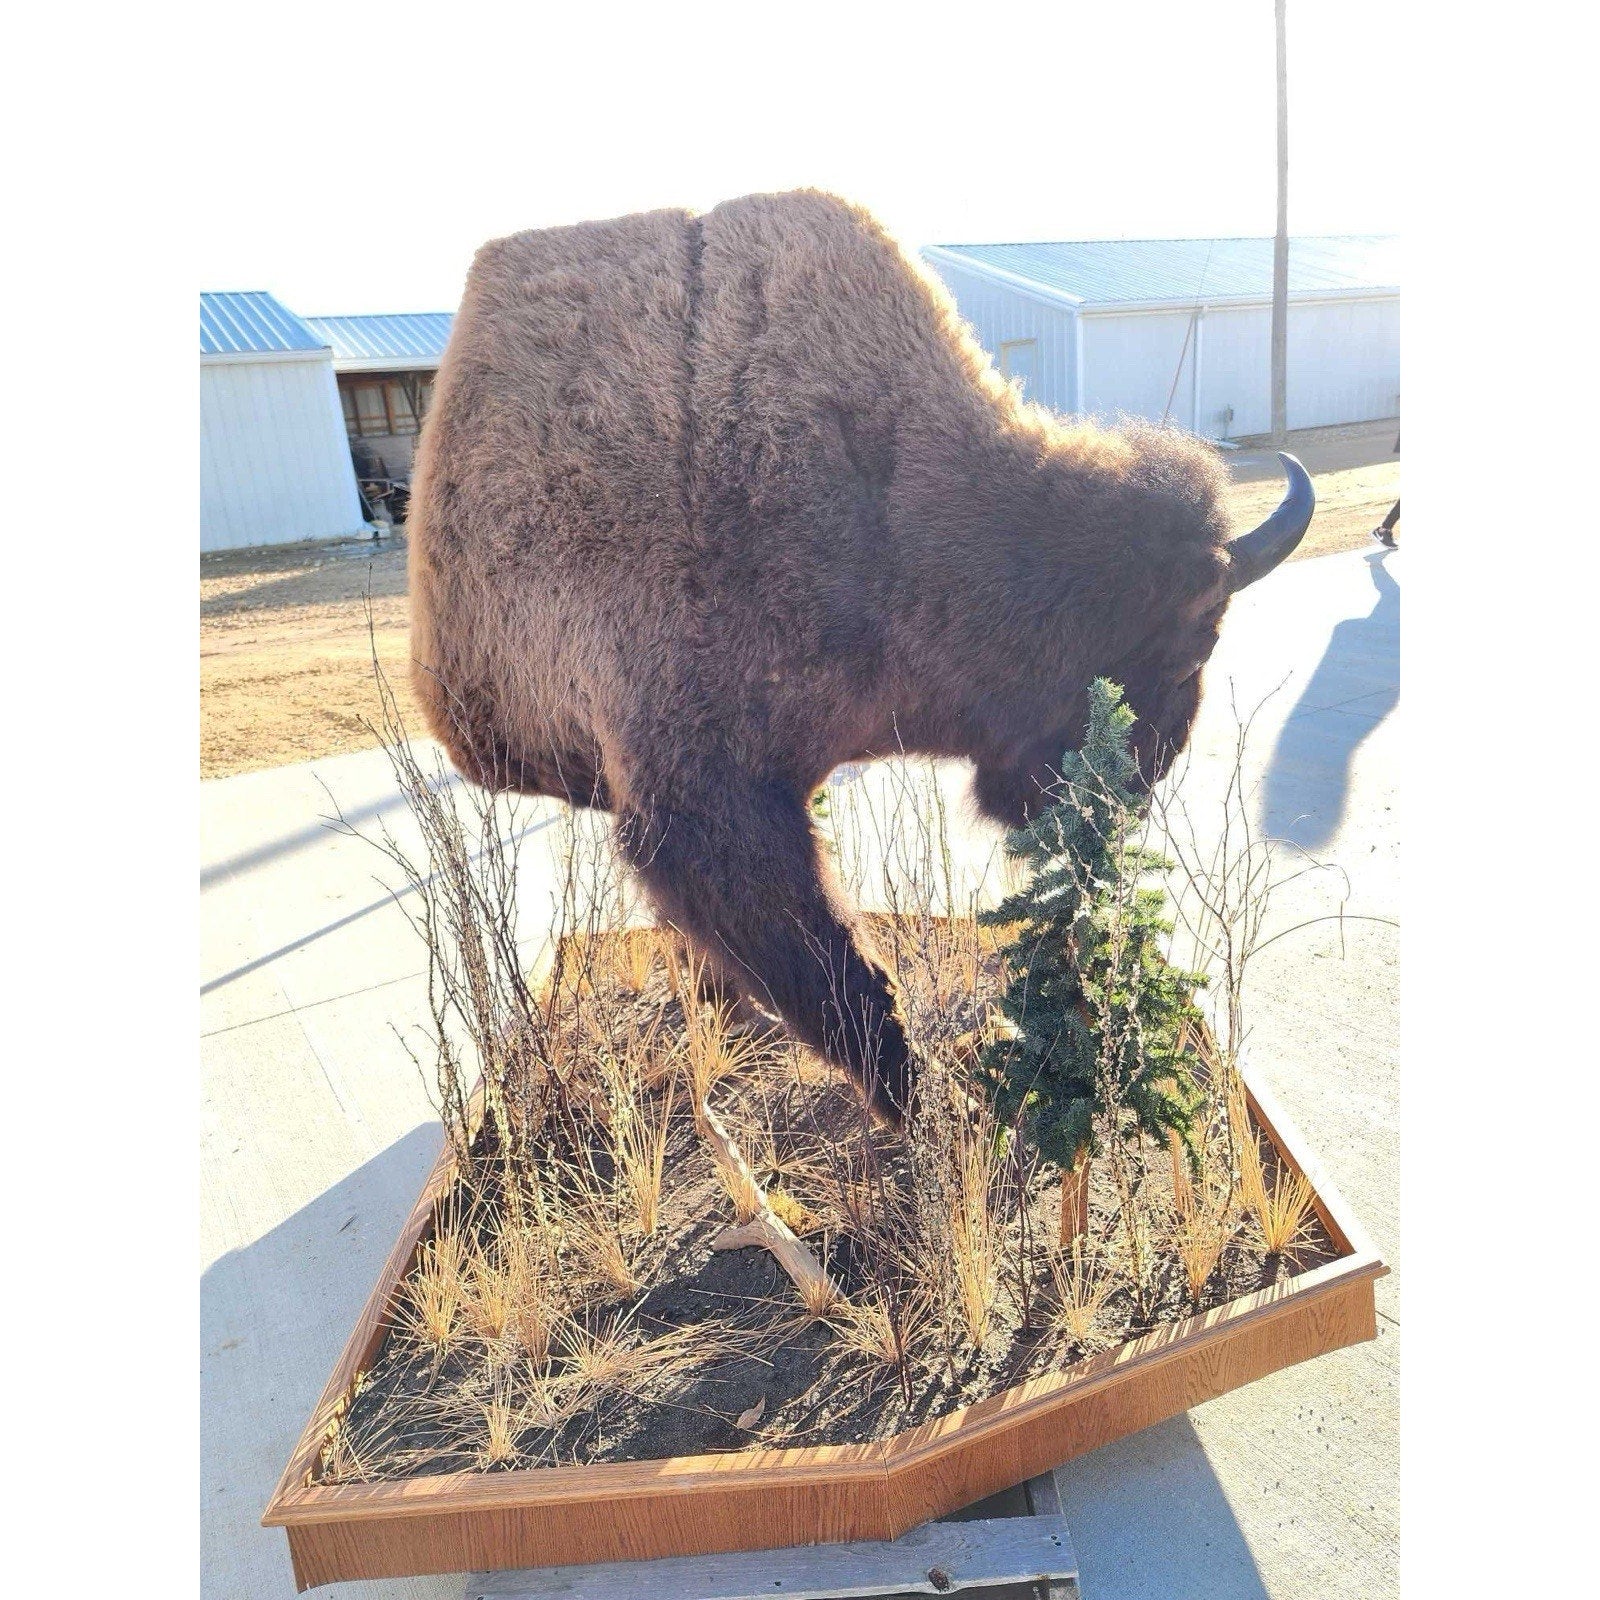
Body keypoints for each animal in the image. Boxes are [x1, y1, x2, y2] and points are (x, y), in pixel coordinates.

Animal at [407, 190, 1313, 1126]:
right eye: (1197, 637)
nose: (1141, 783)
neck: (899, 511)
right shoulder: (705, 805)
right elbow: (845, 984)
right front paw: (933, 1116)